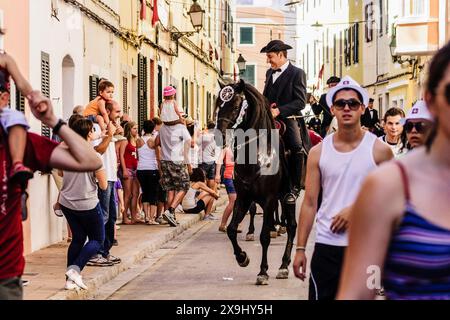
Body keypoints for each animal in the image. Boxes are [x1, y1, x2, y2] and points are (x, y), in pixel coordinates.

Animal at [215, 79, 310, 284]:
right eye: (218, 103)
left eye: (236, 105)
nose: (219, 136)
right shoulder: (243, 198)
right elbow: (232, 229)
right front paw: (242, 257)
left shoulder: (268, 200)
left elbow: (265, 236)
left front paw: (263, 272)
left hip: (288, 197)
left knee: (292, 226)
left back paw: (283, 266)